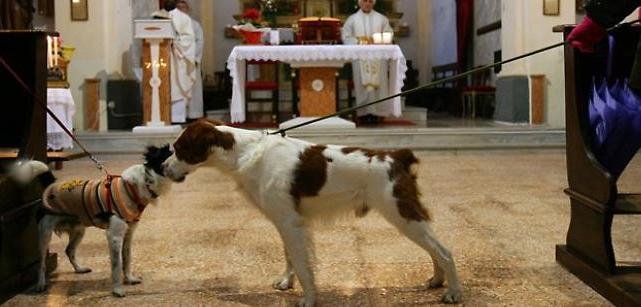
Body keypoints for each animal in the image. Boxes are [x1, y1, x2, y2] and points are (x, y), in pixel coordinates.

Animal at [15, 146, 174, 298]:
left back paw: (79, 269)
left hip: (79, 230)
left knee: (69, 250)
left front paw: (129, 278)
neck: (134, 186)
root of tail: (51, 186)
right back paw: (41, 283)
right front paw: (117, 290)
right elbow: (117, 264)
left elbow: (127, 258)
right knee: (42, 263)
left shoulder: (128, 234)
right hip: (45, 234)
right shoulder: (114, 236)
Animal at [161, 119, 460, 306]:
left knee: (444, 251)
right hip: (406, 215)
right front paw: (286, 283)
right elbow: (290, 257)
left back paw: (454, 293)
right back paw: (437, 280)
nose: (162, 168)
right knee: (435, 250)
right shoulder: (287, 220)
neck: (245, 153)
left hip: (401, 213)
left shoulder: (288, 221)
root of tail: (398, 156)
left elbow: (302, 263)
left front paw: (308, 299)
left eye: (179, 149)